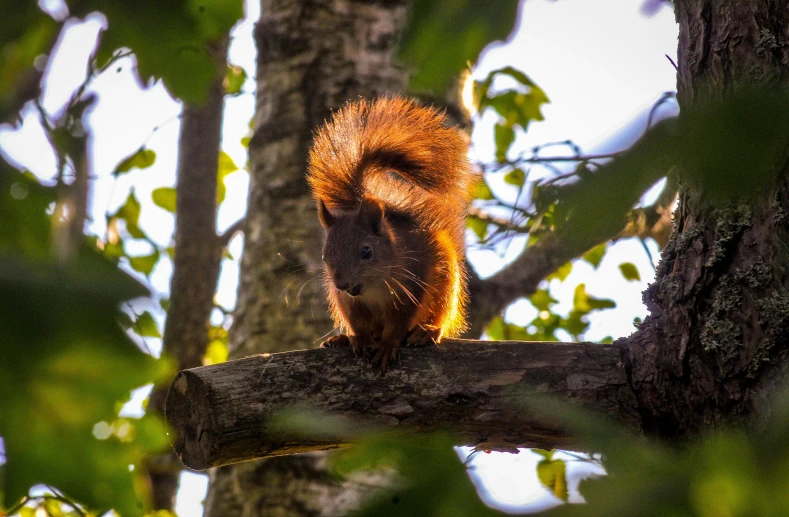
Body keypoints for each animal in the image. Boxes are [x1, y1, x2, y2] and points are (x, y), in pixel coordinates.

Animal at [308, 95, 474, 370]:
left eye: (366, 251)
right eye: (324, 256)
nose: (341, 284)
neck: (373, 287)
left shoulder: (412, 286)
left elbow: (398, 324)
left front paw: (387, 346)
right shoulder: (349, 302)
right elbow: (358, 323)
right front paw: (359, 339)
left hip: (446, 283)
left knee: (439, 314)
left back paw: (426, 331)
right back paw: (343, 338)